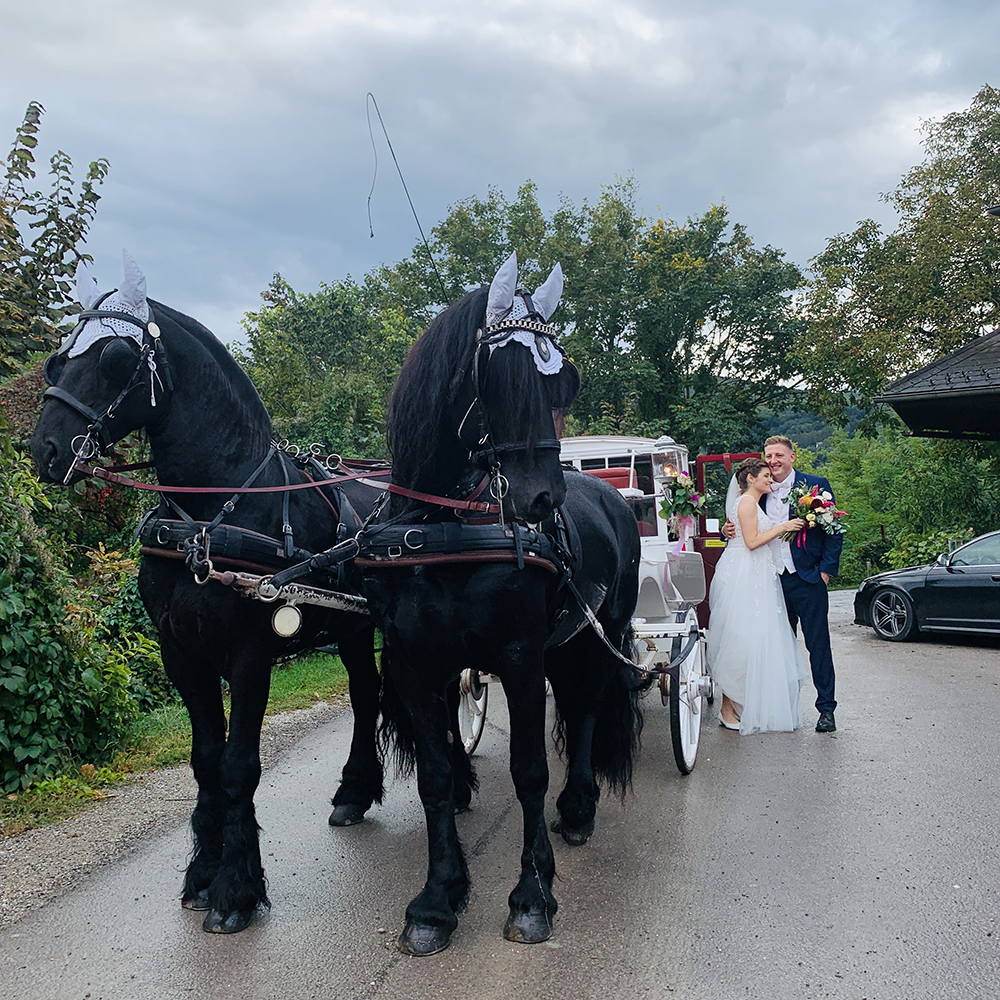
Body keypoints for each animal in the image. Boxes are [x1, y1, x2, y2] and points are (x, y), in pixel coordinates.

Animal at [29, 254, 392, 932]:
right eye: (56, 359)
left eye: (114, 358)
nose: (45, 449)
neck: (207, 514)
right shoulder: (181, 652)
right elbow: (205, 760)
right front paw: (204, 871)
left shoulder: (250, 654)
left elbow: (237, 765)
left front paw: (235, 890)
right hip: (352, 629)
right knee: (364, 694)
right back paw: (354, 792)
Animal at [362, 258, 640, 952]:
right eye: (496, 374)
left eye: (563, 380)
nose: (543, 499)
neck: (440, 529)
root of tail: (612, 495)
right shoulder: (413, 665)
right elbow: (436, 775)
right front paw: (437, 899)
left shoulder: (519, 657)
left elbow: (529, 770)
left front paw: (532, 896)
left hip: (601, 633)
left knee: (587, 709)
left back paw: (578, 808)